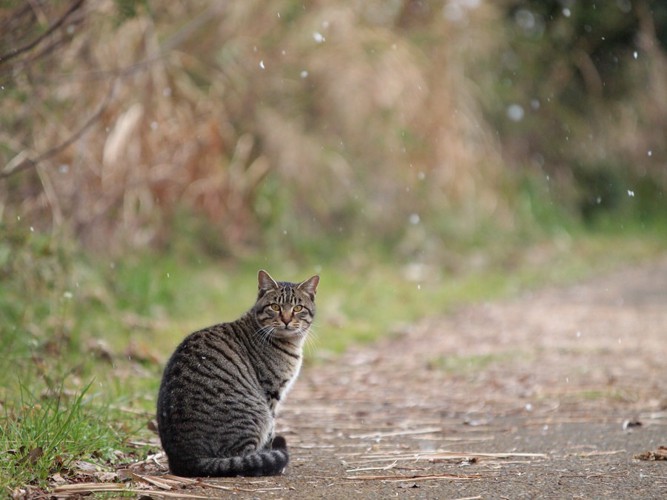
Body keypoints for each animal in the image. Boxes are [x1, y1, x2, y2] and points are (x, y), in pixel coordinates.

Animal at [159, 270, 320, 476]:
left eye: (298, 308)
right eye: (275, 306)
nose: (286, 320)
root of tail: (186, 459)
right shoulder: (271, 393)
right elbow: (271, 432)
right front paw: (271, 456)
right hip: (255, 412)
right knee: (241, 459)